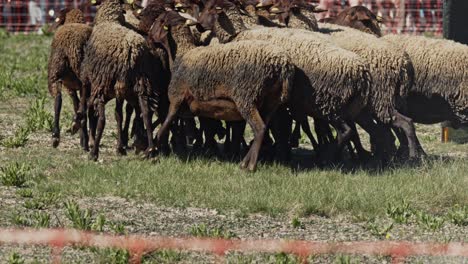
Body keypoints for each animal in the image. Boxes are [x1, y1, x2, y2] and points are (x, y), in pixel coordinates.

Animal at [48, 7, 94, 150]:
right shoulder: (73, 86)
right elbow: (78, 104)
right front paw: (84, 140)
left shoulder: (70, 87)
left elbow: (76, 104)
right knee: (83, 99)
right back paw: (76, 122)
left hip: (55, 74)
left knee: (58, 99)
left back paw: (57, 135)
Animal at [79, 0, 170, 160]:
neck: (108, 19)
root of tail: (131, 49)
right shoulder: (120, 89)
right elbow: (119, 114)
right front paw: (120, 147)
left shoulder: (89, 78)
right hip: (140, 82)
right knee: (146, 112)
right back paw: (150, 150)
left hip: (104, 83)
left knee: (101, 118)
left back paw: (93, 152)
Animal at [149, 10, 296, 171]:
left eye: (159, 21)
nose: (148, 36)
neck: (181, 55)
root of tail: (282, 65)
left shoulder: (176, 99)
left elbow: (165, 124)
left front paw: (152, 151)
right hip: (270, 104)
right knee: (262, 127)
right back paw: (244, 162)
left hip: (247, 98)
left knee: (260, 128)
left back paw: (250, 166)